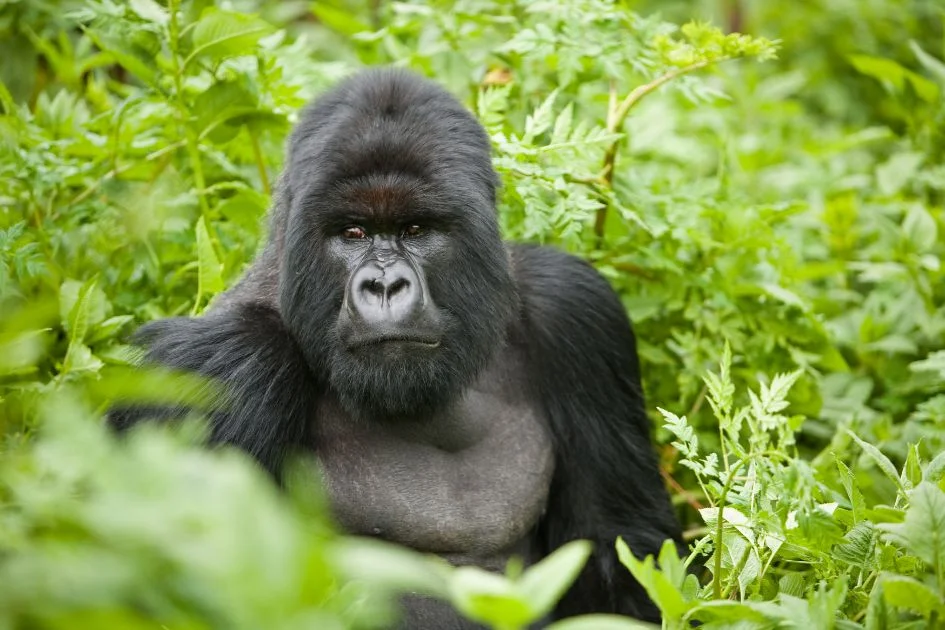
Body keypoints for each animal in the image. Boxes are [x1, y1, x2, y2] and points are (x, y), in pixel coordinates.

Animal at [110, 66, 684, 628]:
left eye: (415, 228)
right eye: (353, 232)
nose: (384, 286)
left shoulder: (574, 309)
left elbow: (624, 550)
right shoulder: (223, 362)